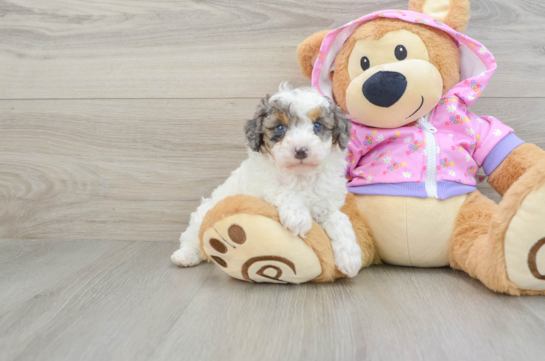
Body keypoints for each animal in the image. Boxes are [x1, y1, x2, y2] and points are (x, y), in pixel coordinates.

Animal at [172, 83, 364, 278]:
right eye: (280, 128)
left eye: (317, 126)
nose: (301, 150)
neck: (300, 175)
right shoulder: (261, 185)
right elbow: (280, 189)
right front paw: (298, 216)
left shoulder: (327, 202)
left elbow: (339, 219)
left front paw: (350, 257)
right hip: (204, 212)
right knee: (193, 238)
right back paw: (185, 255)